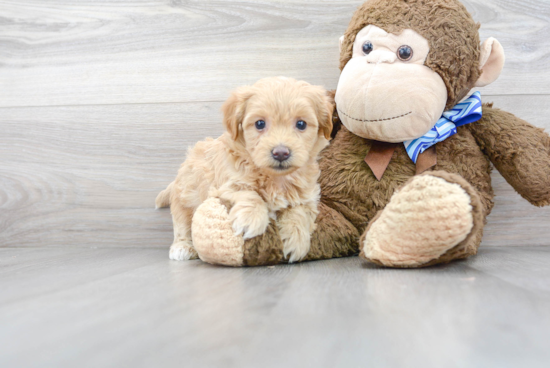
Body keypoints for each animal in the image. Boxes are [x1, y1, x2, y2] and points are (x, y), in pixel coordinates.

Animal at [157, 77, 334, 262]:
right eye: (260, 123)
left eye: (301, 124)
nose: (280, 153)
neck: (276, 178)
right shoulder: (223, 185)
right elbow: (247, 192)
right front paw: (251, 218)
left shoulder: (308, 197)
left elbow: (299, 211)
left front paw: (297, 239)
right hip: (184, 196)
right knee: (182, 224)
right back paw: (182, 247)